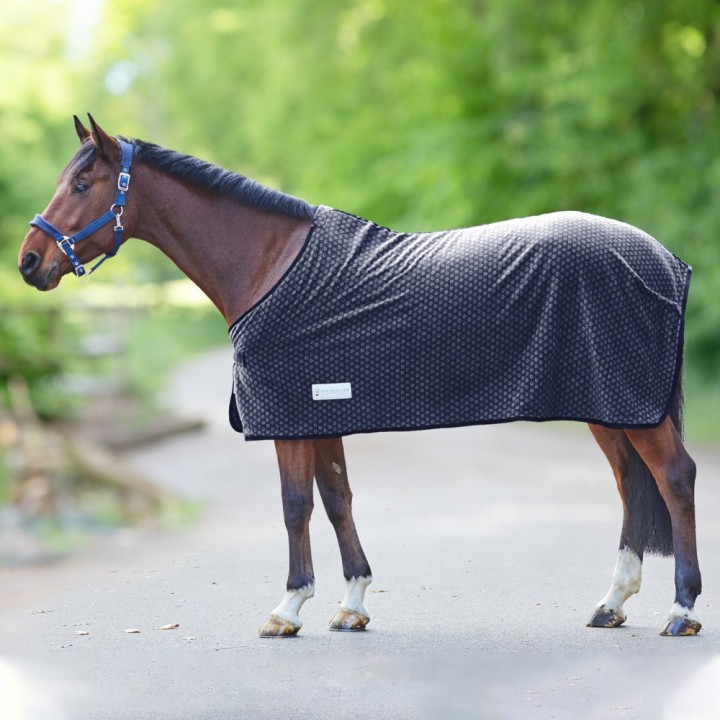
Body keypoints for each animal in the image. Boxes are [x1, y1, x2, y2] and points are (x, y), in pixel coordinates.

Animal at [18, 115, 701, 638]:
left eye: (82, 183)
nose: (29, 262)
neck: (268, 266)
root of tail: (667, 261)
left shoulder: (290, 415)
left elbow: (296, 505)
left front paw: (288, 608)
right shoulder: (322, 411)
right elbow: (337, 499)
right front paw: (351, 606)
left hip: (630, 404)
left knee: (674, 478)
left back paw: (681, 610)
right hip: (611, 405)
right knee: (629, 485)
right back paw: (612, 604)